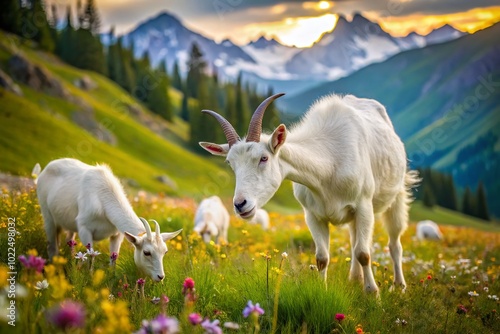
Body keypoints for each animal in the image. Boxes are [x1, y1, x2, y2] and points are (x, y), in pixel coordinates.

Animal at [35, 159, 184, 282]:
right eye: (146, 252)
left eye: (165, 252)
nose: (160, 277)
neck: (103, 198)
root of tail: (45, 168)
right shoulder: (84, 229)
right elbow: (90, 256)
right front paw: (90, 279)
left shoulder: (117, 234)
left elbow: (114, 260)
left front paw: (111, 279)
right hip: (46, 212)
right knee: (52, 245)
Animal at [199, 92, 418, 294]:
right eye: (230, 163)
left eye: (263, 158)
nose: (240, 204)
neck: (329, 164)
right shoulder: (313, 215)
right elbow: (322, 257)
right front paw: (322, 291)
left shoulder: (363, 205)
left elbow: (364, 253)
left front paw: (373, 294)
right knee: (354, 239)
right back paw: (354, 279)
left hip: (396, 196)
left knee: (394, 243)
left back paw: (400, 286)